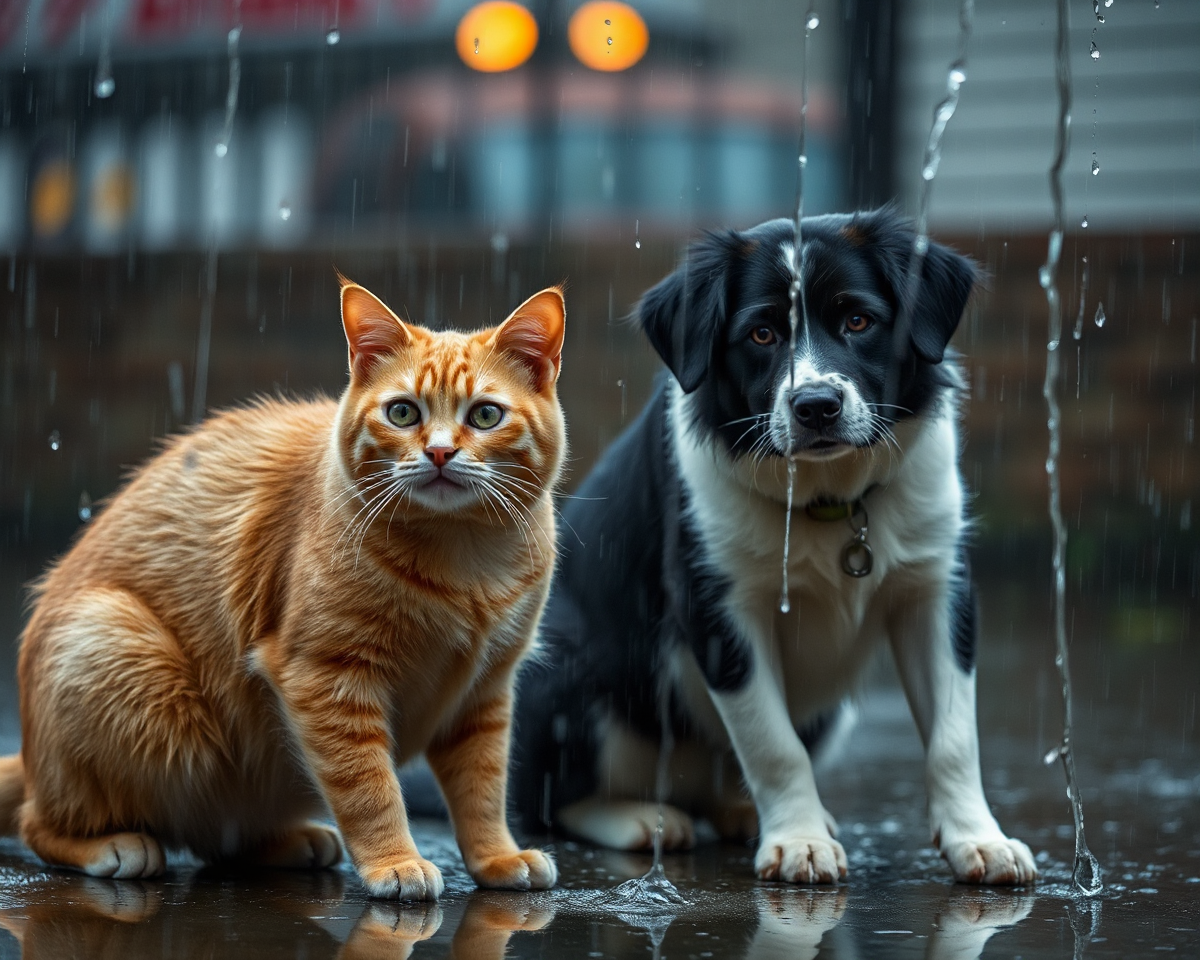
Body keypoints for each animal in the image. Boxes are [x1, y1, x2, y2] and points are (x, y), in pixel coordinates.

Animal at [0, 277, 566, 902]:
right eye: (402, 412)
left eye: (486, 415)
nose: (440, 452)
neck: (464, 558)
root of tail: (30, 751)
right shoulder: (327, 677)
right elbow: (369, 788)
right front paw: (395, 861)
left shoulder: (485, 695)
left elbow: (483, 790)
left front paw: (497, 857)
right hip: (119, 654)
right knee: (38, 824)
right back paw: (110, 847)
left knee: (219, 839)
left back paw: (292, 842)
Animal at [511, 207, 1036, 883]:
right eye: (761, 334)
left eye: (858, 320)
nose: (816, 406)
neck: (829, 500)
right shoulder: (718, 607)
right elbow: (772, 742)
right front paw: (800, 841)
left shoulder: (937, 588)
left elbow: (954, 735)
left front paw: (980, 838)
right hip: (569, 673)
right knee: (542, 802)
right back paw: (642, 819)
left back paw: (739, 812)